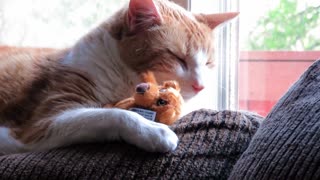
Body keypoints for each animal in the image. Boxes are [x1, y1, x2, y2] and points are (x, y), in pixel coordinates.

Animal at [0, 0, 236, 155]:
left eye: (208, 63)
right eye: (178, 58)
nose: (201, 86)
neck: (122, 80)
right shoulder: (39, 125)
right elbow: (114, 115)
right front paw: (153, 131)